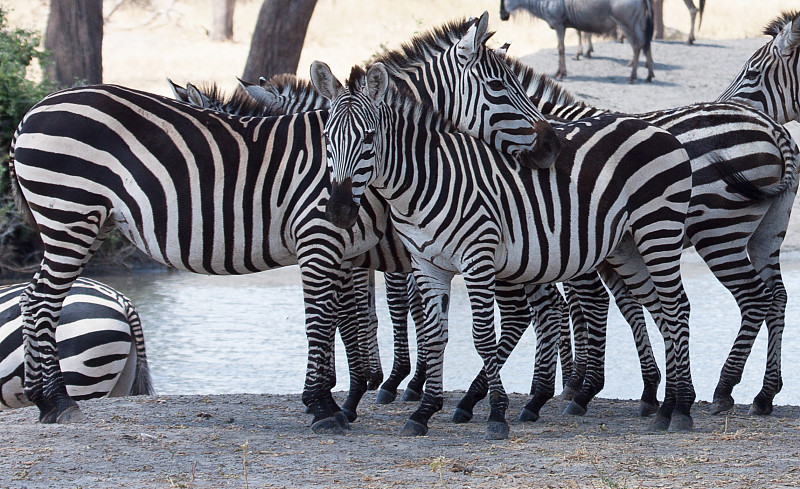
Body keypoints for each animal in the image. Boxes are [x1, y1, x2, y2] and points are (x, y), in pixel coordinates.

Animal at [312, 60, 700, 438]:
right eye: (327, 138)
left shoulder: (477, 259)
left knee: (676, 307)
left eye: (368, 137)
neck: (426, 180)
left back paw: (679, 408)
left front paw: (496, 415)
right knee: (662, 310)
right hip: (627, 246)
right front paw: (424, 412)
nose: (339, 210)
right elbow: (435, 335)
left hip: (658, 229)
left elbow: (483, 338)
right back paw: (668, 404)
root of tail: (656, 129)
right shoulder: (427, 264)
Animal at [500, 0, 656, 81]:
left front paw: (561, 73)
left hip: (626, 25)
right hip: (638, 24)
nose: (502, 16)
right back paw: (649, 74)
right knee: (645, 44)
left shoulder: (559, 25)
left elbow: (561, 48)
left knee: (637, 46)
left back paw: (632, 76)